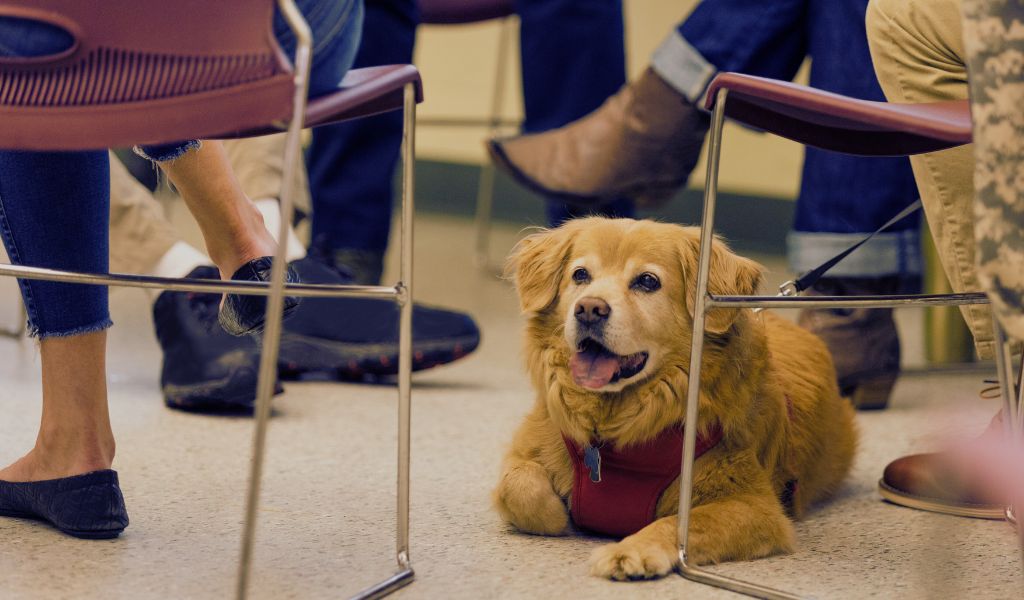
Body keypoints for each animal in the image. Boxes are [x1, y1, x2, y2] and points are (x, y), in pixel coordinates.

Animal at [493, 217, 856, 577]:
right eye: (580, 275)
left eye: (647, 281)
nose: (588, 309)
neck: (613, 426)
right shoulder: (530, 447)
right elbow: (519, 487)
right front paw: (560, 515)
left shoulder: (756, 506)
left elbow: (681, 523)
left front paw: (631, 551)